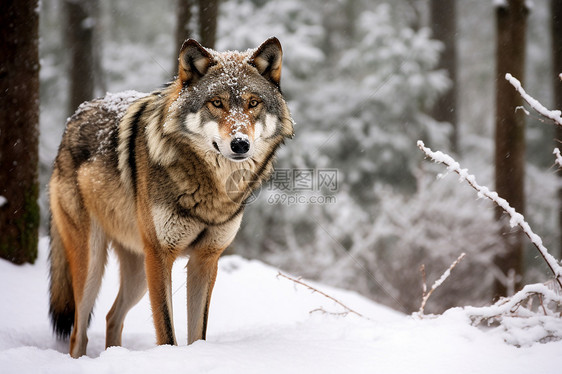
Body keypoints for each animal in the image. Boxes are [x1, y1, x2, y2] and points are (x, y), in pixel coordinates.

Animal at [48, 37, 294, 356]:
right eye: (217, 103)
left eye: (253, 103)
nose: (240, 144)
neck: (212, 193)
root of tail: (75, 115)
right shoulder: (161, 255)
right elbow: (166, 330)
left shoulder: (206, 259)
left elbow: (198, 332)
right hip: (94, 263)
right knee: (79, 332)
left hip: (138, 274)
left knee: (112, 316)